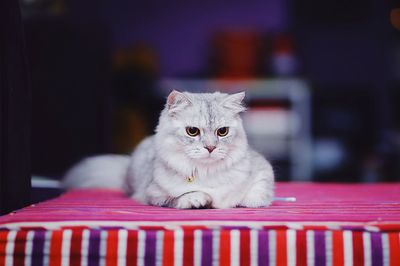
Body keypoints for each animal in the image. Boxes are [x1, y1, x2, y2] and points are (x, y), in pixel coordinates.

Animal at [63, 90, 276, 209]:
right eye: (192, 131)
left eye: (222, 132)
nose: (210, 147)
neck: (207, 172)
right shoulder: (154, 193)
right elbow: (183, 197)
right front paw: (199, 200)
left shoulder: (263, 170)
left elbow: (258, 193)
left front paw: (246, 201)